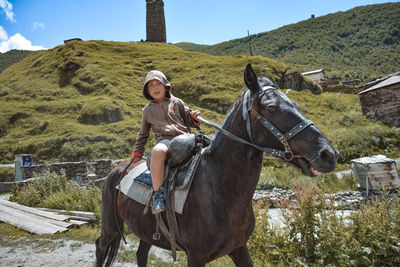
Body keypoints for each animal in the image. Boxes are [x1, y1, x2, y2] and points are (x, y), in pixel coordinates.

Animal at [95, 63, 340, 266]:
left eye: (296, 104)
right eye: (271, 108)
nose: (329, 154)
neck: (218, 187)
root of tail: (119, 168)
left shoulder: (239, 249)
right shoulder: (196, 256)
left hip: (146, 231)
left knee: (141, 254)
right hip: (110, 227)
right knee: (100, 246)